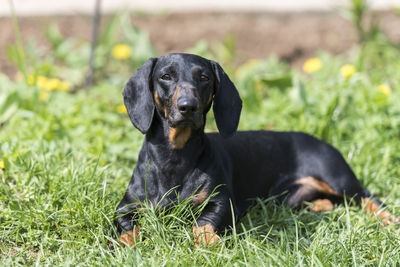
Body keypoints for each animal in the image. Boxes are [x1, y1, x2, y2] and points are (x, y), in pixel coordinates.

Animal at [114, 52, 398, 247]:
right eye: (165, 76)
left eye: (204, 77)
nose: (188, 106)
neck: (175, 157)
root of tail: (320, 141)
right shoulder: (126, 207)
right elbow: (126, 227)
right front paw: (124, 245)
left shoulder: (221, 203)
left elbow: (204, 224)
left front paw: (208, 243)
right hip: (289, 200)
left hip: (338, 180)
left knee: (370, 199)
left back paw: (388, 220)